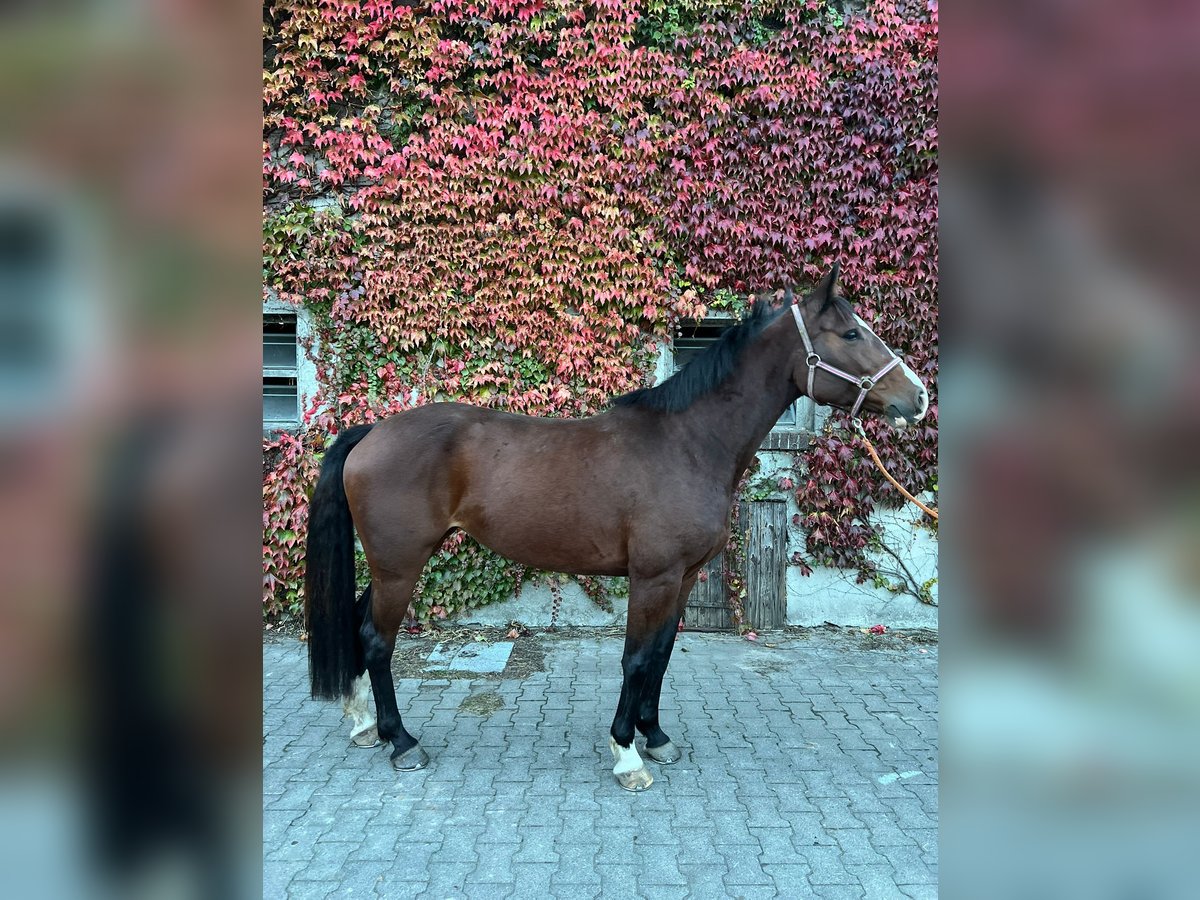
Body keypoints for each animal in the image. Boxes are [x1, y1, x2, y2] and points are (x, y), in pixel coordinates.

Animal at [302, 264, 926, 792]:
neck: (687, 443)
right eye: (850, 334)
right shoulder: (652, 577)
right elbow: (636, 659)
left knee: (358, 625)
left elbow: (663, 654)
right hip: (401, 565)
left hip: (391, 565)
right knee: (377, 640)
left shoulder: (682, 578)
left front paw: (656, 737)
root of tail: (372, 431)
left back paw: (362, 723)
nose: (917, 397)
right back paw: (401, 742)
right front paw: (627, 754)